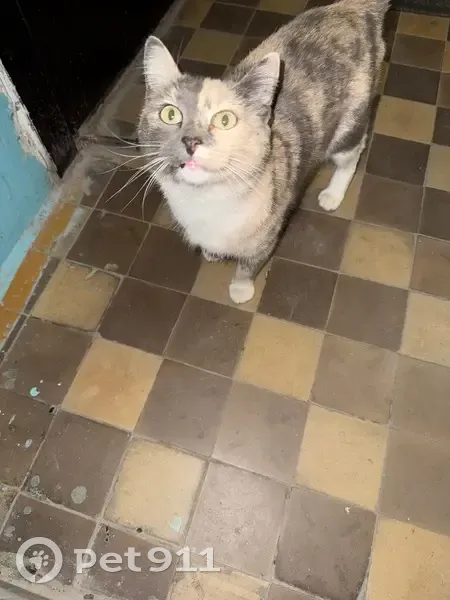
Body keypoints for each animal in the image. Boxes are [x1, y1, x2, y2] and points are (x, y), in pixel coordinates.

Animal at [138, 0, 388, 304]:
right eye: (170, 114)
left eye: (225, 120)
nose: (191, 141)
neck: (206, 201)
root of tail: (355, 7)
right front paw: (211, 252)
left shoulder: (268, 231)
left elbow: (250, 264)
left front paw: (241, 289)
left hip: (349, 123)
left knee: (353, 151)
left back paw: (333, 194)